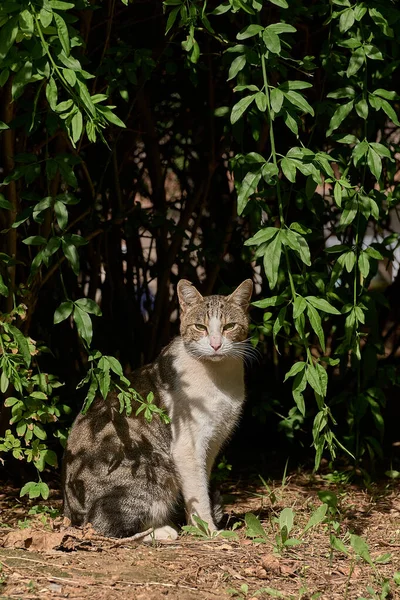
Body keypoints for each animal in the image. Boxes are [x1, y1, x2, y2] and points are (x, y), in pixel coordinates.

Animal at [64, 278, 255, 540]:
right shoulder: (187, 446)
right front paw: (208, 530)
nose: (216, 345)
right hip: (150, 468)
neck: (219, 378)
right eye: (200, 327)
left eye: (229, 326)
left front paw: (196, 524)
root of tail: (70, 513)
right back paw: (163, 531)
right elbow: (198, 493)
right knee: (105, 527)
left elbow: (200, 486)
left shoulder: (213, 442)